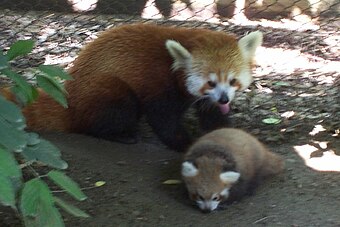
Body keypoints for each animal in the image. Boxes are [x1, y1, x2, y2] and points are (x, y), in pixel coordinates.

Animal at [1, 23, 262, 151]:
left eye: (232, 81)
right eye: (210, 82)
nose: (224, 99)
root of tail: (68, 97)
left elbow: (211, 115)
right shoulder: (158, 81)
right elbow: (162, 118)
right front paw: (184, 142)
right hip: (106, 90)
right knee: (115, 110)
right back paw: (121, 135)